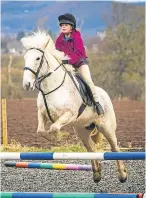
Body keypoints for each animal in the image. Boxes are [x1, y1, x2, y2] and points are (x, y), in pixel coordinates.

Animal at [21, 30, 127, 183]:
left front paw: (57, 137)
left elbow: (54, 127)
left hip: (106, 126)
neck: (50, 88)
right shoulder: (42, 113)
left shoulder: (69, 114)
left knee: (115, 148)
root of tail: (105, 94)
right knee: (91, 148)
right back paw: (97, 174)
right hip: (82, 129)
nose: (27, 84)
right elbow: (40, 130)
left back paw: (123, 175)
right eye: (25, 57)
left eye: (37, 58)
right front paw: (52, 138)